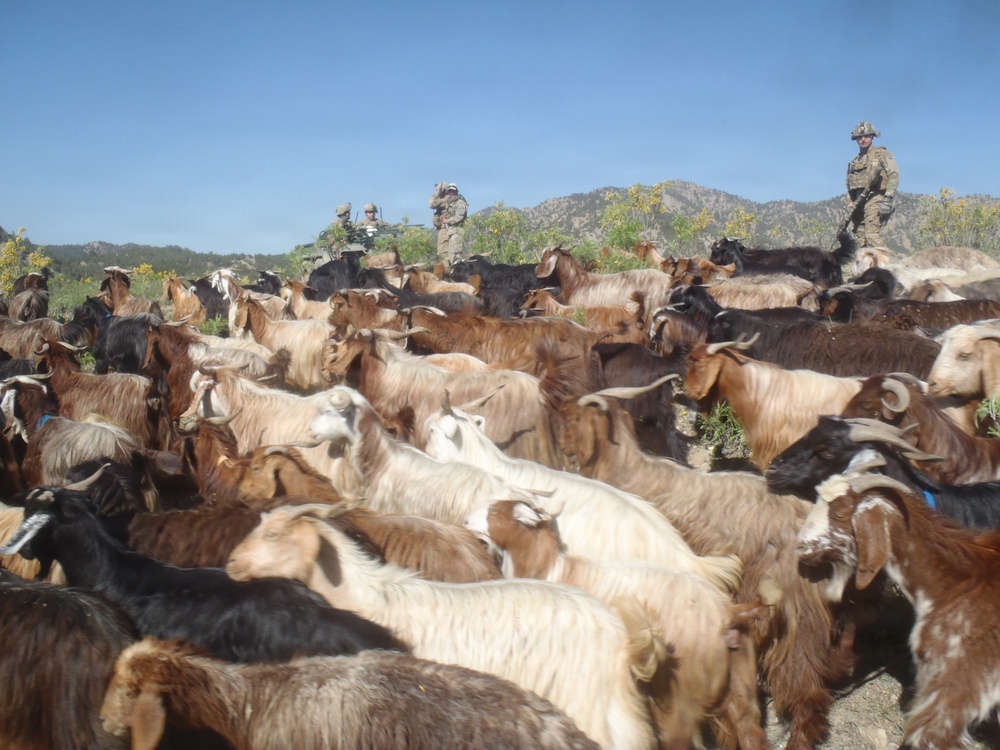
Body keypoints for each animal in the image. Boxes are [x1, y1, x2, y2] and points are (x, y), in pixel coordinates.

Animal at [467, 499, 772, 750]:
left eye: (493, 511)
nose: (467, 521)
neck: (552, 568)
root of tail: (729, 612)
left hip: (681, 693)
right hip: (740, 684)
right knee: (751, 733)